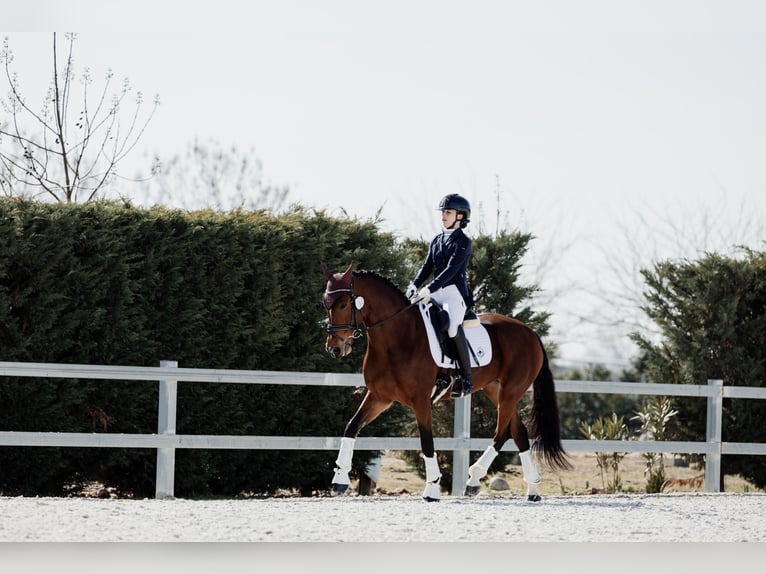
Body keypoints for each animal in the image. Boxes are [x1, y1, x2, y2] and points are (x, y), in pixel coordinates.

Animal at [321, 262, 570, 501]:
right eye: (326, 304)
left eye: (343, 305)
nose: (335, 348)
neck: (397, 338)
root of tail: (530, 333)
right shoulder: (379, 397)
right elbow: (351, 427)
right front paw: (338, 481)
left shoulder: (421, 401)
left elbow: (427, 442)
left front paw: (432, 489)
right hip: (497, 389)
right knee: (518, 433)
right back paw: (532, 490)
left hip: (511, 390)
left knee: (501, 434)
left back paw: (474, 480)